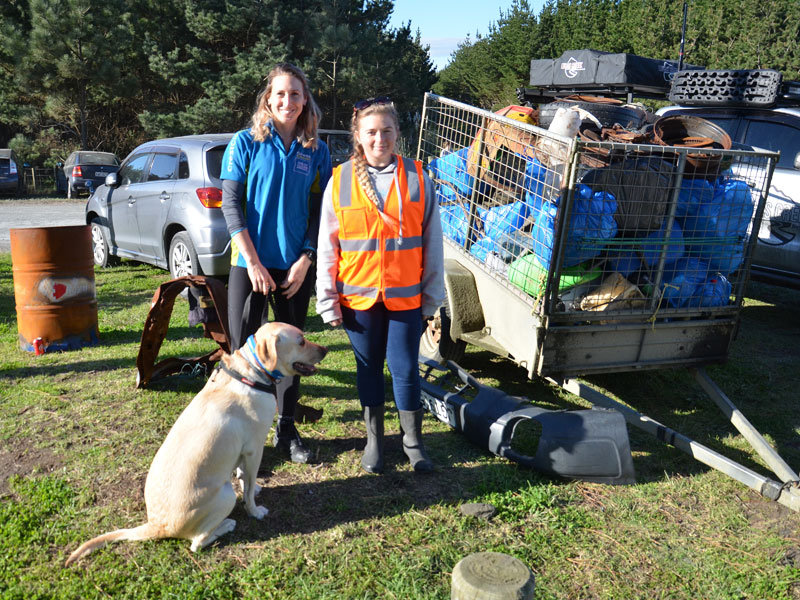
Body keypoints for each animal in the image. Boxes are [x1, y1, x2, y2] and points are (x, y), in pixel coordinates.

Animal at [65, 322, 326, 564]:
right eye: (301, 341)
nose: (325, 349)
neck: (251, 372)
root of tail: (157, 525)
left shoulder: (243, 452)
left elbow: (244, 477)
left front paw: (255, 489)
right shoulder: (254, 449)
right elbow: (248, 486)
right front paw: (254, 510)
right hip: (226, 495)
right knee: (197, 543)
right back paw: (226, 525)